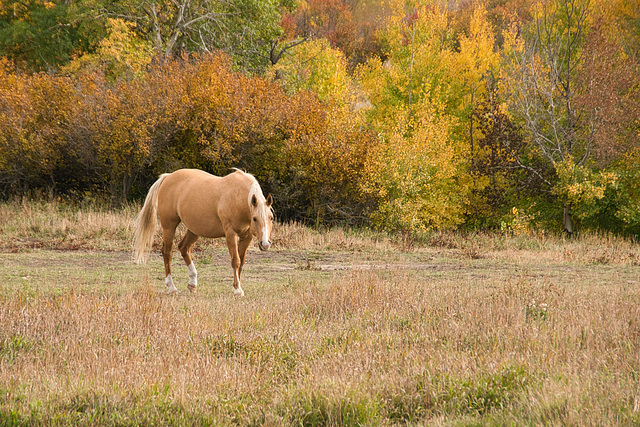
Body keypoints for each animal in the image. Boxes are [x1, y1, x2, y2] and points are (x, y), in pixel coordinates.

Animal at [134, 168, 274, 298]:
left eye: (271, 217)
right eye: (255, 218)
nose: (265, 244)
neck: (237, 197)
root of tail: (168, 177)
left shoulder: (247, 237)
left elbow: (241, 262)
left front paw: (236, 286)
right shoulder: (231, 234)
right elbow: (235, 261)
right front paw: (238, 290)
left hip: (195, 230)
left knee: (184, 248)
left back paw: (192, 283)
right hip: (169, 226)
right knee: (167, 252)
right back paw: (171, 287)